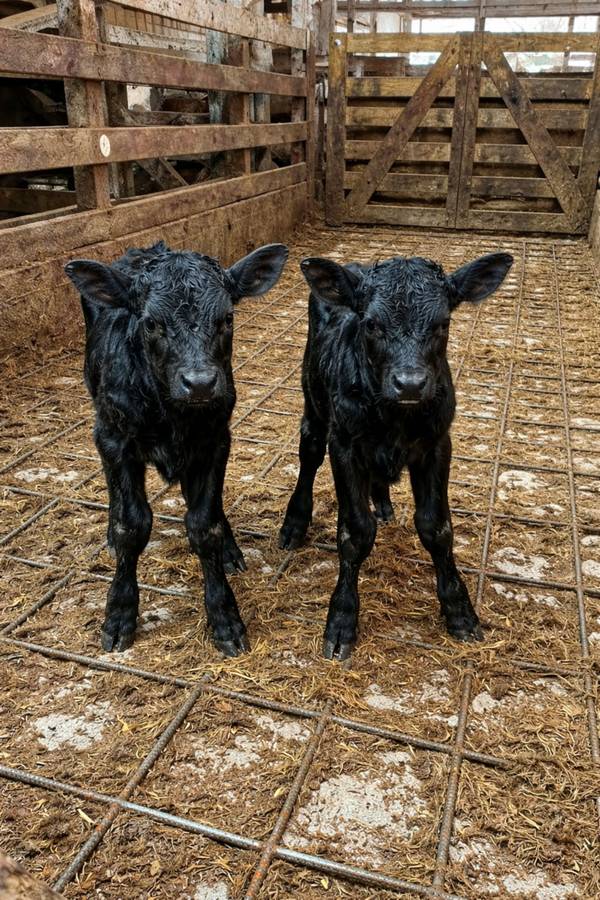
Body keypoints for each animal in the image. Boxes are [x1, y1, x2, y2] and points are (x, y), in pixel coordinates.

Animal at [65, 241, 288, 657]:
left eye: (227, 318)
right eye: (151, 322)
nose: (199, 383)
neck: (172, 415)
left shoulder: (215, 439)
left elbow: (204, 525)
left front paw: (225, 616)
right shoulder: (114, 437)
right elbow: (131, 524)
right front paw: (119, 613)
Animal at [279, 251, 513, 660]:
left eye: (443, 322)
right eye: (370, 324)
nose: (410, 384)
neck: (394, 417)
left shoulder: (437, 443)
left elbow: (437, 528)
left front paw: (459, 611)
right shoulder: (344, 444)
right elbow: (355, 531)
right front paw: (342, 618)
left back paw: (384, 504)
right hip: (313, 400)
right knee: (308, 455)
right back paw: (295, 523)